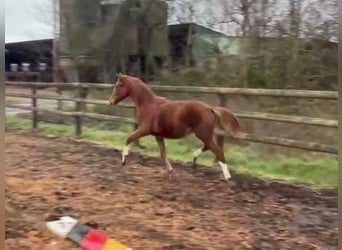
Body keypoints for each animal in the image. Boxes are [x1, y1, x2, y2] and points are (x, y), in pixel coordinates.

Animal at [108, 73, 244, 181]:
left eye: (118, 86)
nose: (110, 101)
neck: (148, 104)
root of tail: (210, 108)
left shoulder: (145, 129)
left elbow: (129, 138)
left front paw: (124, 161)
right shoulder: (158, 135)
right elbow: (162, 153)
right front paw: (170, 171)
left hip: (203, 134)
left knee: (217, 150)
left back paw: (227, 177)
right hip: (205, 134)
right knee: (209, 147)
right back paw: (194, 160)